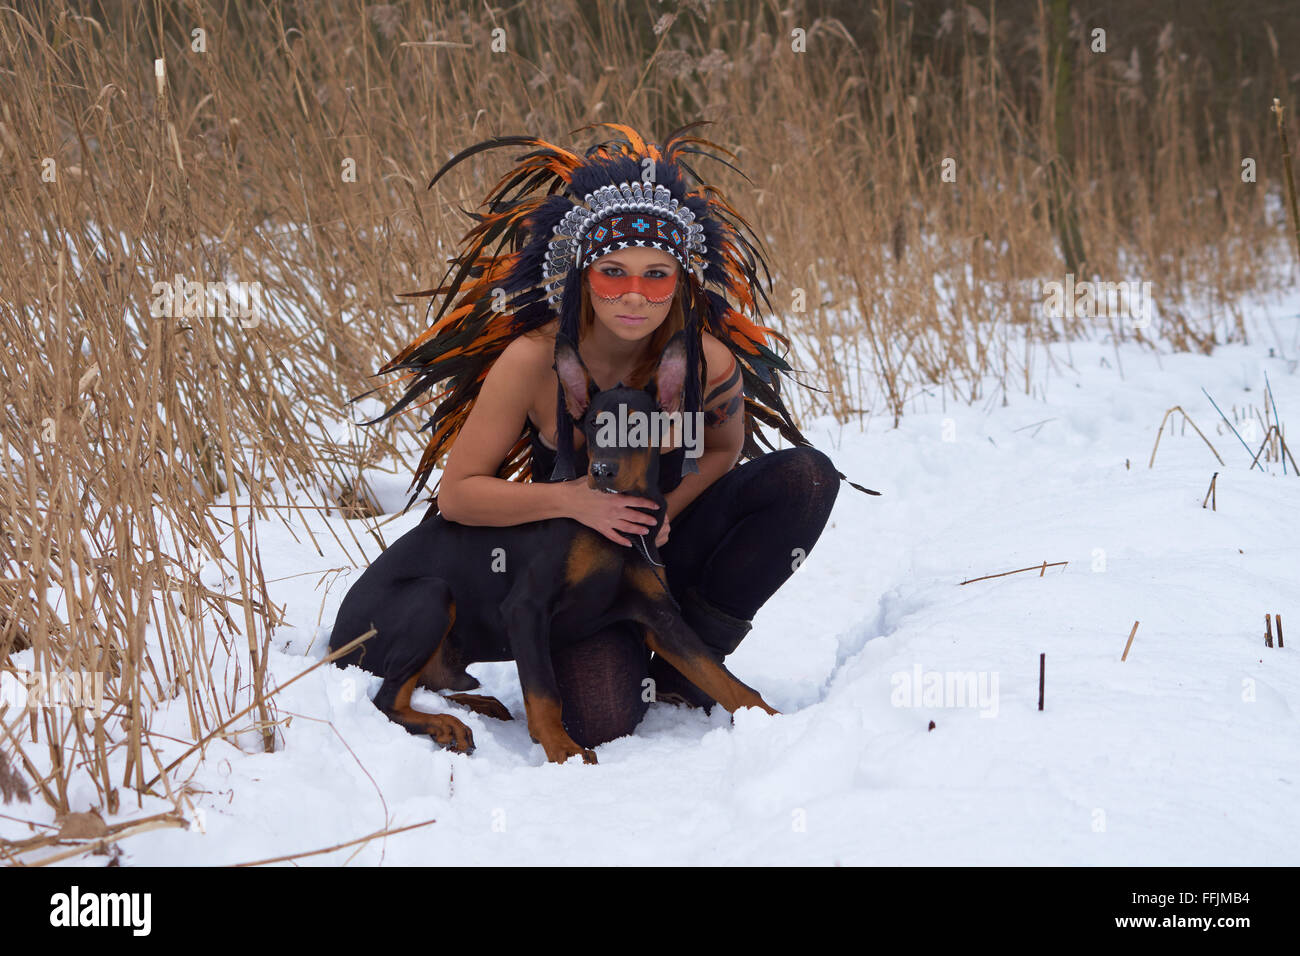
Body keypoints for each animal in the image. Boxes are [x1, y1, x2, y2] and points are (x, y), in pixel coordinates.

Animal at [330, 329, 774, 764]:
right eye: (594, 424)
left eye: (638, 425)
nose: (602, 471)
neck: (614, 529)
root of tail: (332, 645)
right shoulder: (525, 608)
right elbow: (544, 690)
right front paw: (563, 749)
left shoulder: (660, 616)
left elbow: (724, 679)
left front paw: (774, 721)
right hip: (431, 594)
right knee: (387, 698)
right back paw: (446, 725)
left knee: (425, 684)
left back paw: (476, 707)